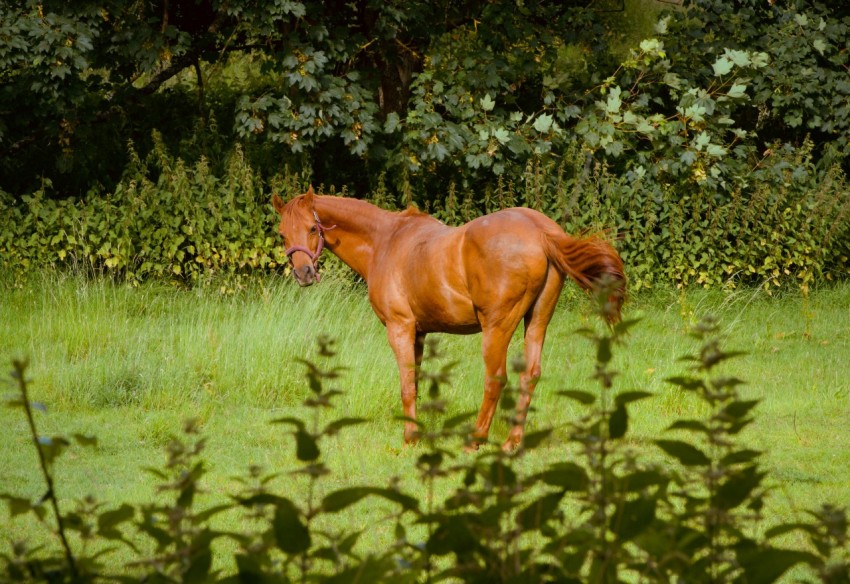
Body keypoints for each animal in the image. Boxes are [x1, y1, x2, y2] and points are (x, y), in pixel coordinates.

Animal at [272, 187, 624, 452]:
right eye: (282, 233)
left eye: (313, 228)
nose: (304, 274)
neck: (385, 241)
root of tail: (539, 230)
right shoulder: (419, 333)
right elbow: (416, 382)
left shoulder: (400, 328)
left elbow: (406, 385)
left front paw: (410, 439)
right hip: (536, 322)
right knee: (530, 375)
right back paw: (512, 442)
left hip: (497, 327)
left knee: (496, 378)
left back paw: (476, 440)